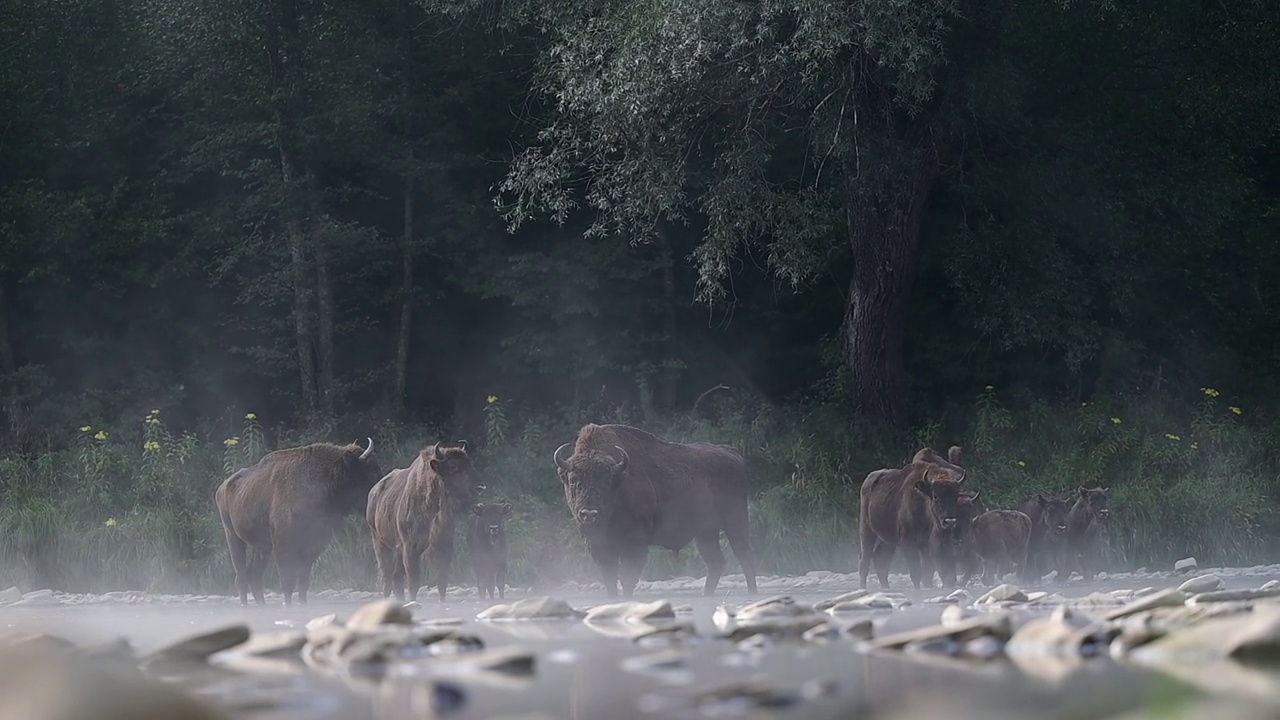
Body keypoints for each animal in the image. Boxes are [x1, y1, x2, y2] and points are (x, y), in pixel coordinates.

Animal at [215, 438, 381, 604]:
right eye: (371, 470)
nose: (377, 493)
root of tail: (223, 487)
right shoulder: (283, 546)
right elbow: (288, 581)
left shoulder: (312, 546)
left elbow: (303, 581)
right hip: (233, 537)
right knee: (241, 575)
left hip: (262, 547)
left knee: (254, 575)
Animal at [373, 440, 491, 602]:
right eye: (453, 465)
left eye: (469, 462)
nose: (480, 487)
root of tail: (373, 493)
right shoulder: (410, 548)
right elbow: (414, 582)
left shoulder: (443, 544)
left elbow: (442, 580)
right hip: (381, 545)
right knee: (387, 579)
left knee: (396, 579)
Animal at [552, 422, 752, 597]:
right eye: (574, 480)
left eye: (606, 482)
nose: (589, 514)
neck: (620, 480)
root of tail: (733, 454)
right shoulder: (600, 545)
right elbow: (610, 578)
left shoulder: (634, 543)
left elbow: (628, 577)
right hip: (706, 532)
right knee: (716, 561)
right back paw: (707, 595)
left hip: (735, 522)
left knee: (745, 555)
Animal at [860, 443, 967, 589]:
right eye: (935, 496)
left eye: (956, 497)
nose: (949, 521)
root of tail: (868, 479)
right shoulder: (908, 542)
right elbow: (917, 573)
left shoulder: (933, 544)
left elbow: (928, 573)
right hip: (867, 530)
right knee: (865, 561)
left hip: (888, 540)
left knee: (880, 559)